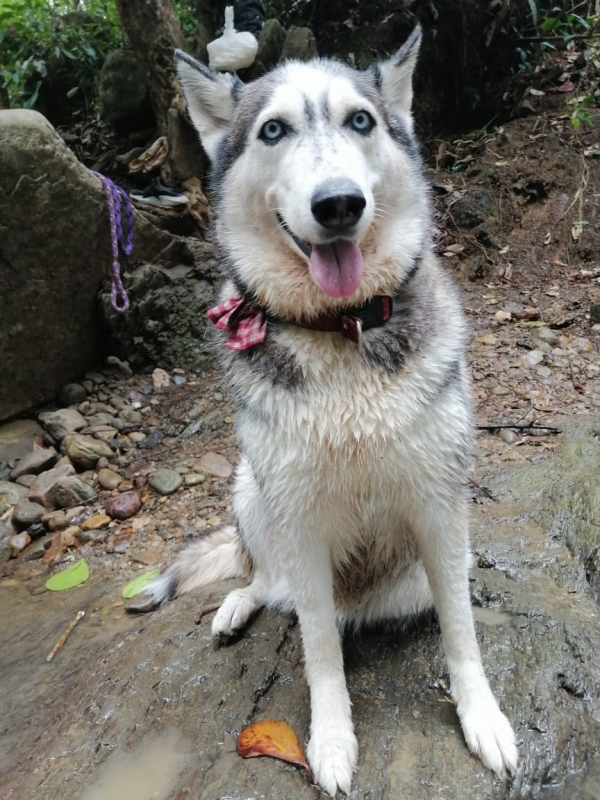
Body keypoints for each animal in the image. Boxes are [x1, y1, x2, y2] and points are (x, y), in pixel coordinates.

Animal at [136, 28, 516, 796]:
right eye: (273, 130)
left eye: (360, 120)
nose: (338, 204)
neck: (340, 328)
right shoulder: (302, 525)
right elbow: (318, 654)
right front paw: (333, 740)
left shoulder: (440, 507)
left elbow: (461, 632)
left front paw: (481, 717)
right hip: (252, 488)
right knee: (266, 576)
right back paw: (239, 602)